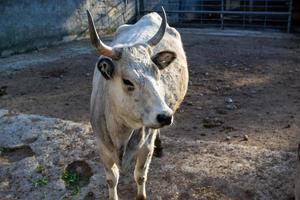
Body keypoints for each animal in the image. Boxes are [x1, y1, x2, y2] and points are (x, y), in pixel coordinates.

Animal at [88, 7, 189, 200]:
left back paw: (160, 146)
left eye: (158, 74)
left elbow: (140, 176)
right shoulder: (102, 148)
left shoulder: (145, 146)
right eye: (127, 81)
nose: (165, 116)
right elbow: (111, 179)